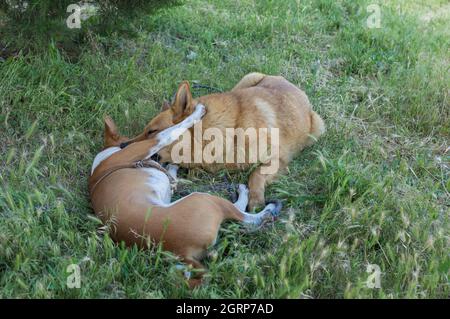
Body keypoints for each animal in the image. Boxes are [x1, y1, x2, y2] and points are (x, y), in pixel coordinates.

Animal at [89, 105, 282, 288]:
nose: (125, 145)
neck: (106, 155)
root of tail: (182, 252)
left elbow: (171, 172)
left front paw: (173, 165)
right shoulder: (152, 143)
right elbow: (172, 130)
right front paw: (197, 113)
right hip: (204, 199)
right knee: (246, 217)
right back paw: (261, 205)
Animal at [119, 73, 324, 211]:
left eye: (152, 131)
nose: (122, 147)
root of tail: (292, 86)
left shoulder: (277, 160)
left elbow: (256, 174)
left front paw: (256, 200)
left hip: (318, 129)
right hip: (247, 79)